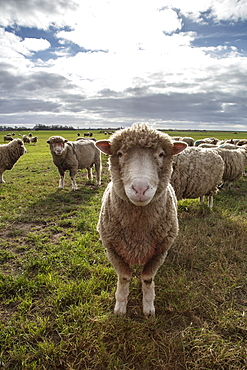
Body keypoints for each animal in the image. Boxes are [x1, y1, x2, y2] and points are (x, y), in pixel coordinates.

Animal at [95, 123, 187, 316]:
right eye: (120, 153)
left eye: (161, 154)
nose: (140, 188)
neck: (138, 231)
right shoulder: (112, 250)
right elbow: (124, 278)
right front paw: (120, 307)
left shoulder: (159, 251)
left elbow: (147, 278)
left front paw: (148, 307)